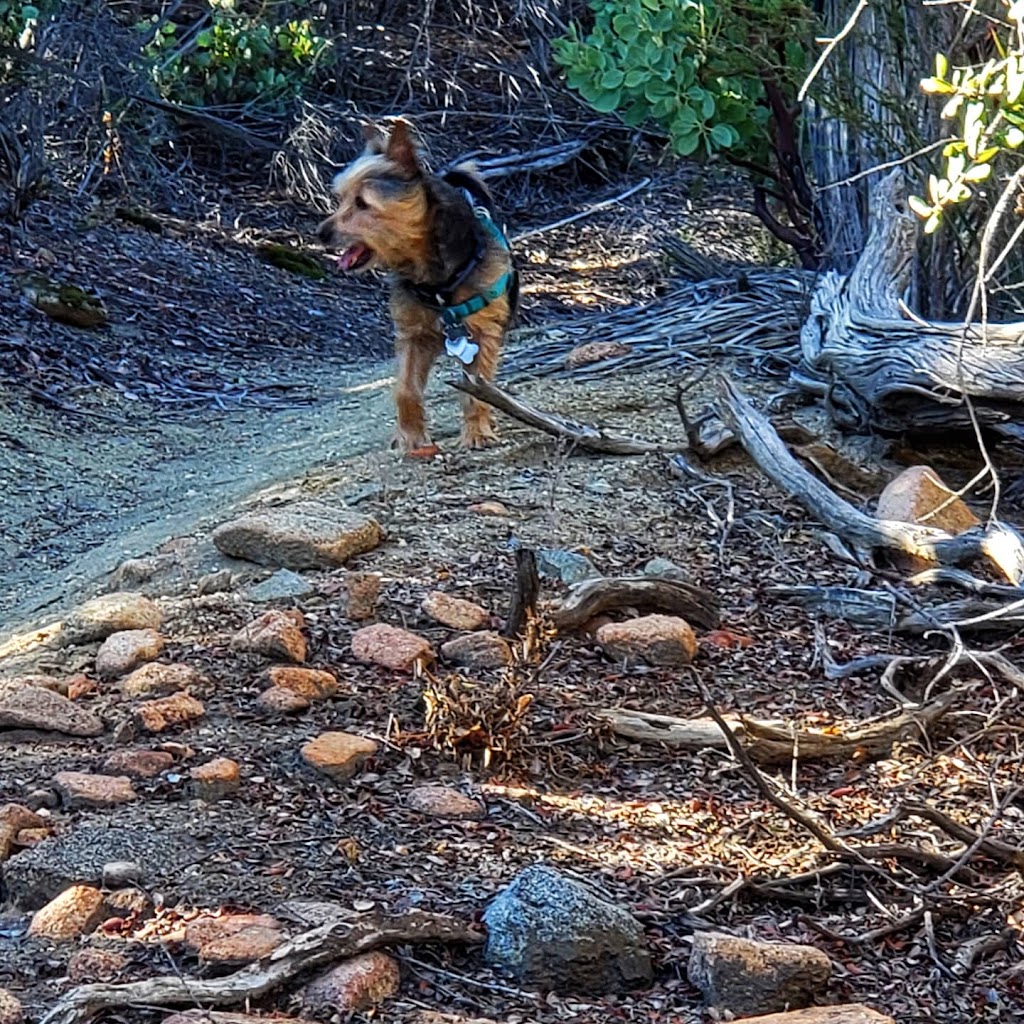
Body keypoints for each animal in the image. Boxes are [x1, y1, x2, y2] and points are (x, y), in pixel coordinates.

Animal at [315, 118, 516, 448]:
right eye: (340, 199)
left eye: (362, 203)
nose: (321, 233)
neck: (436, 282)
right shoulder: (413, 335)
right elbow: (405, 389)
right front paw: (410, 436)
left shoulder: (481, 332)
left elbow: (478, 388)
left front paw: (476, 431)